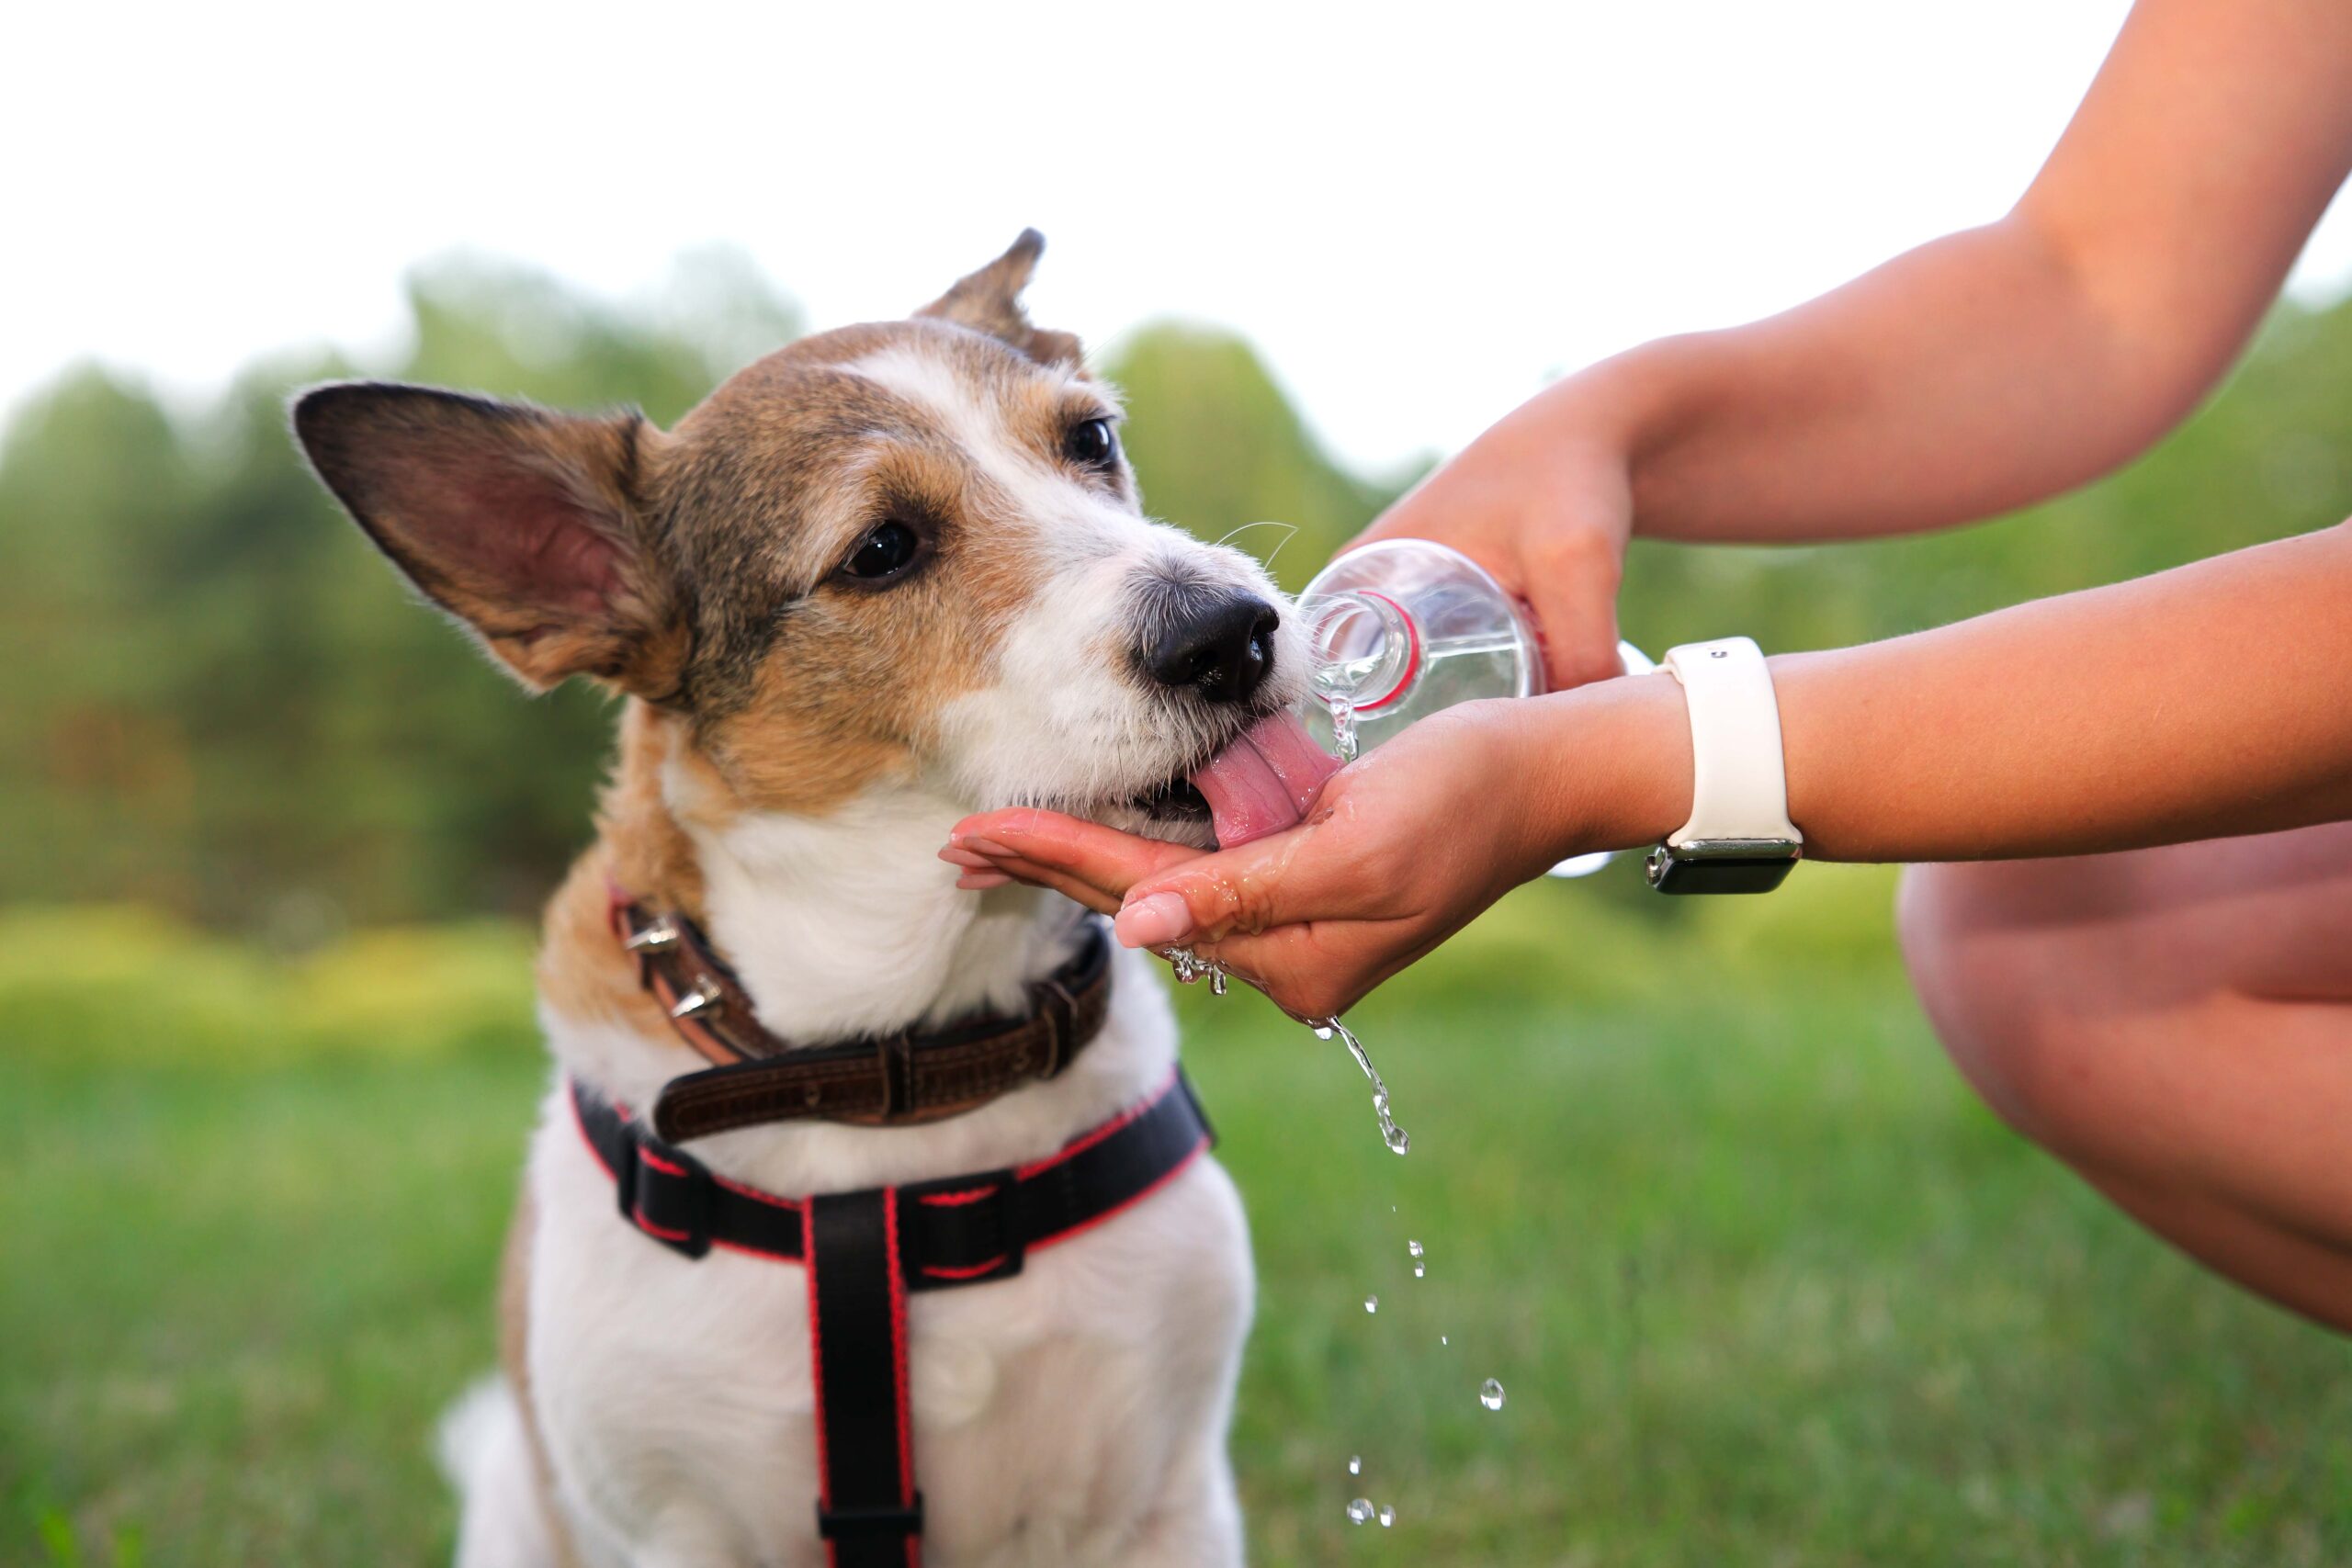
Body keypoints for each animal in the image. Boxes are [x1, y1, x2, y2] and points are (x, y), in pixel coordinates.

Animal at [291, 232, 1326, 1568]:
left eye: (1089, 438)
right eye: (880, 550)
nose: (1231, 631)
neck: (902, 1070)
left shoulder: (1163, 1503)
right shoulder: (676, 1529)